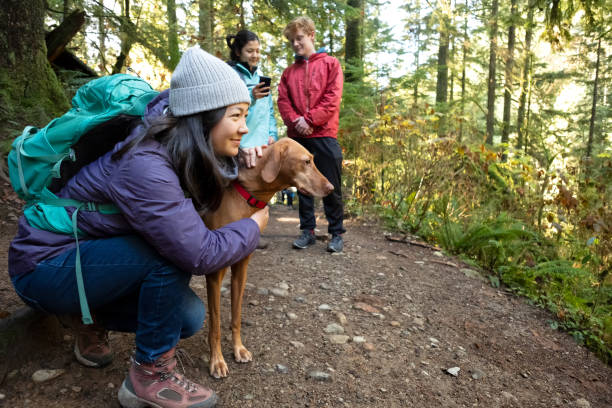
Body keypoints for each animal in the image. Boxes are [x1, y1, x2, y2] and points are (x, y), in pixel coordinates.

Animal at [202, 138, 332, 380]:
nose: (331, 188)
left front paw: (238, 349)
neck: (247, 195)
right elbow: (215, 325)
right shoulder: (214, 273)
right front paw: (217, 361)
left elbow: (236, 316)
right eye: (306, 161)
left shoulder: (241, 270)